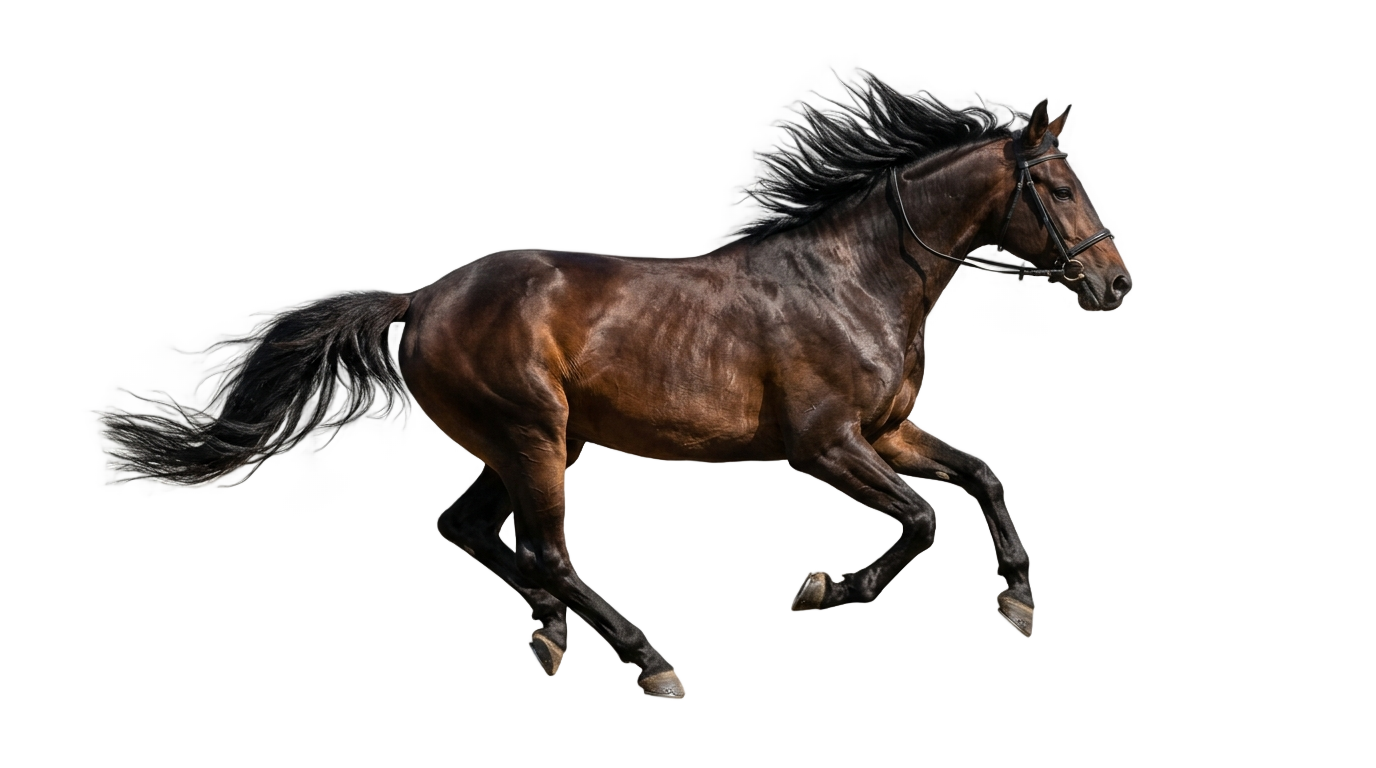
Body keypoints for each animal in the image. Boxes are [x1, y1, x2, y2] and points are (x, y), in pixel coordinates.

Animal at [104, 76, 1131, 697]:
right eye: (1059, 188)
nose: (1117, 283)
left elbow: (979, 478)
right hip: (531, 437)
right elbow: (918, 520)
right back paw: (645, 660)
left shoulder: (883, 433)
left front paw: (1018, 587)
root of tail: (419, 300)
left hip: (511, 445)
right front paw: (829, 591)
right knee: (548, 551)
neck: (853, 281)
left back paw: (550, 627)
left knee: (471, 531)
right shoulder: (825, 445)